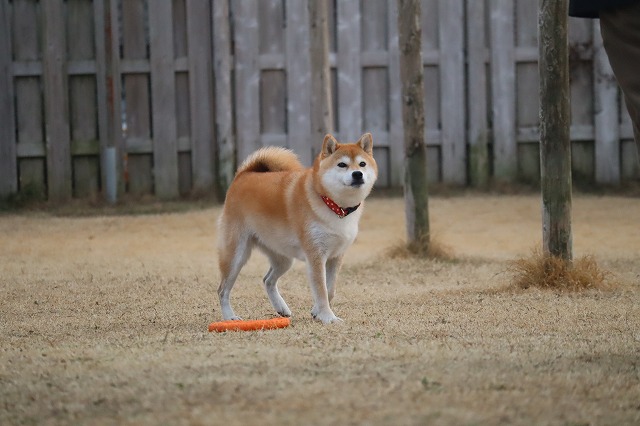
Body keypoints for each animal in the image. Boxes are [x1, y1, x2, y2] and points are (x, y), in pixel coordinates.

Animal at [216, 133, 378, 324]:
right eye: (342, 165)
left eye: (362, 164)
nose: (357, 174)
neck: (334, 207)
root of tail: (242, 175)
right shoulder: (316, 256)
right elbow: (321, 290)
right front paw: (328, 317)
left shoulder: (336, 256)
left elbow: (330, 290)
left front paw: (317, 311)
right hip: (235, 256)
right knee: (222, 290)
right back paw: (229, 317)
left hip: (283, 259)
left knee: (267, 280)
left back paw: (281, 308)